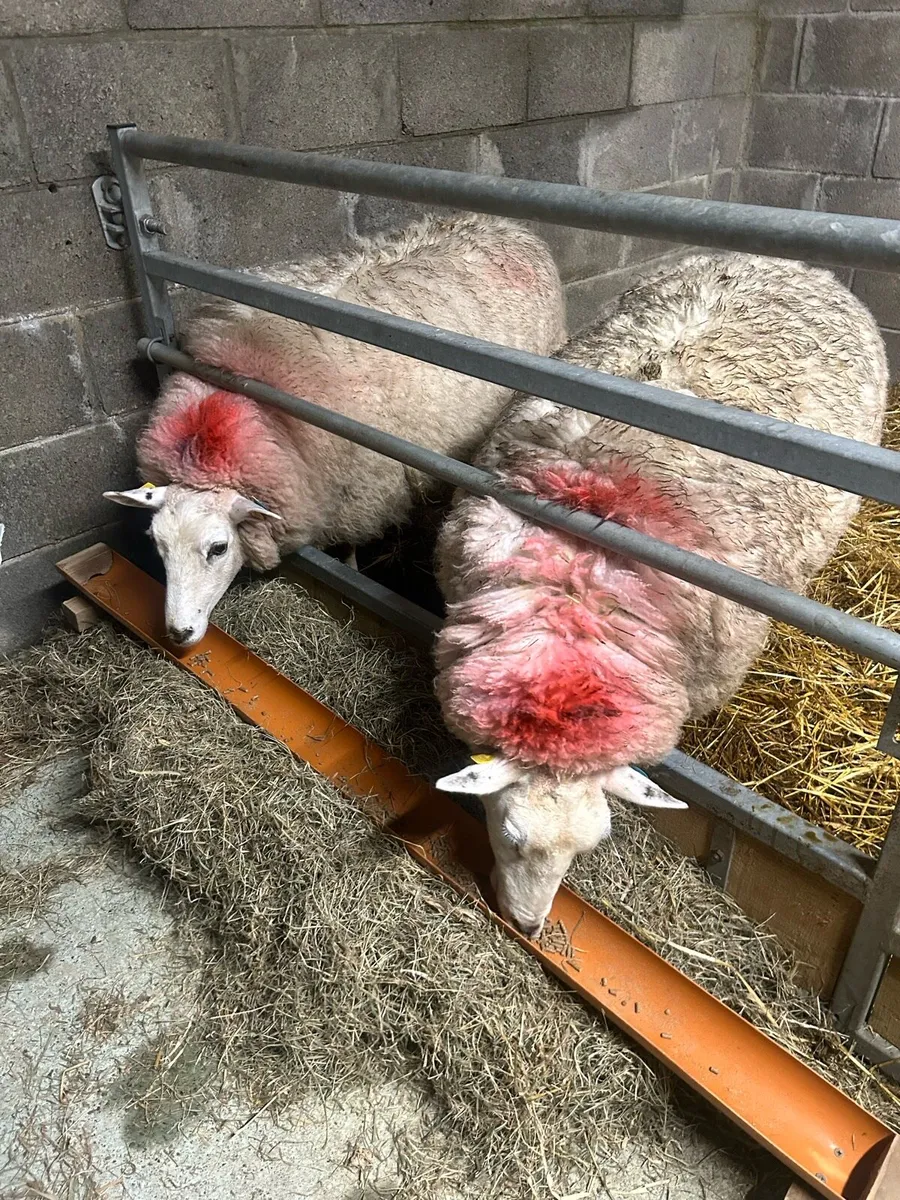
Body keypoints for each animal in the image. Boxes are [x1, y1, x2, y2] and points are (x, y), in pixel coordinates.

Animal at [103, 213, 565, 648]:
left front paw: (351, 570)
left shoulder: (359, 492)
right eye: (157, 544)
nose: (178, 632)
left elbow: (349, 548)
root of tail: (504, 224)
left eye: (218, 548)